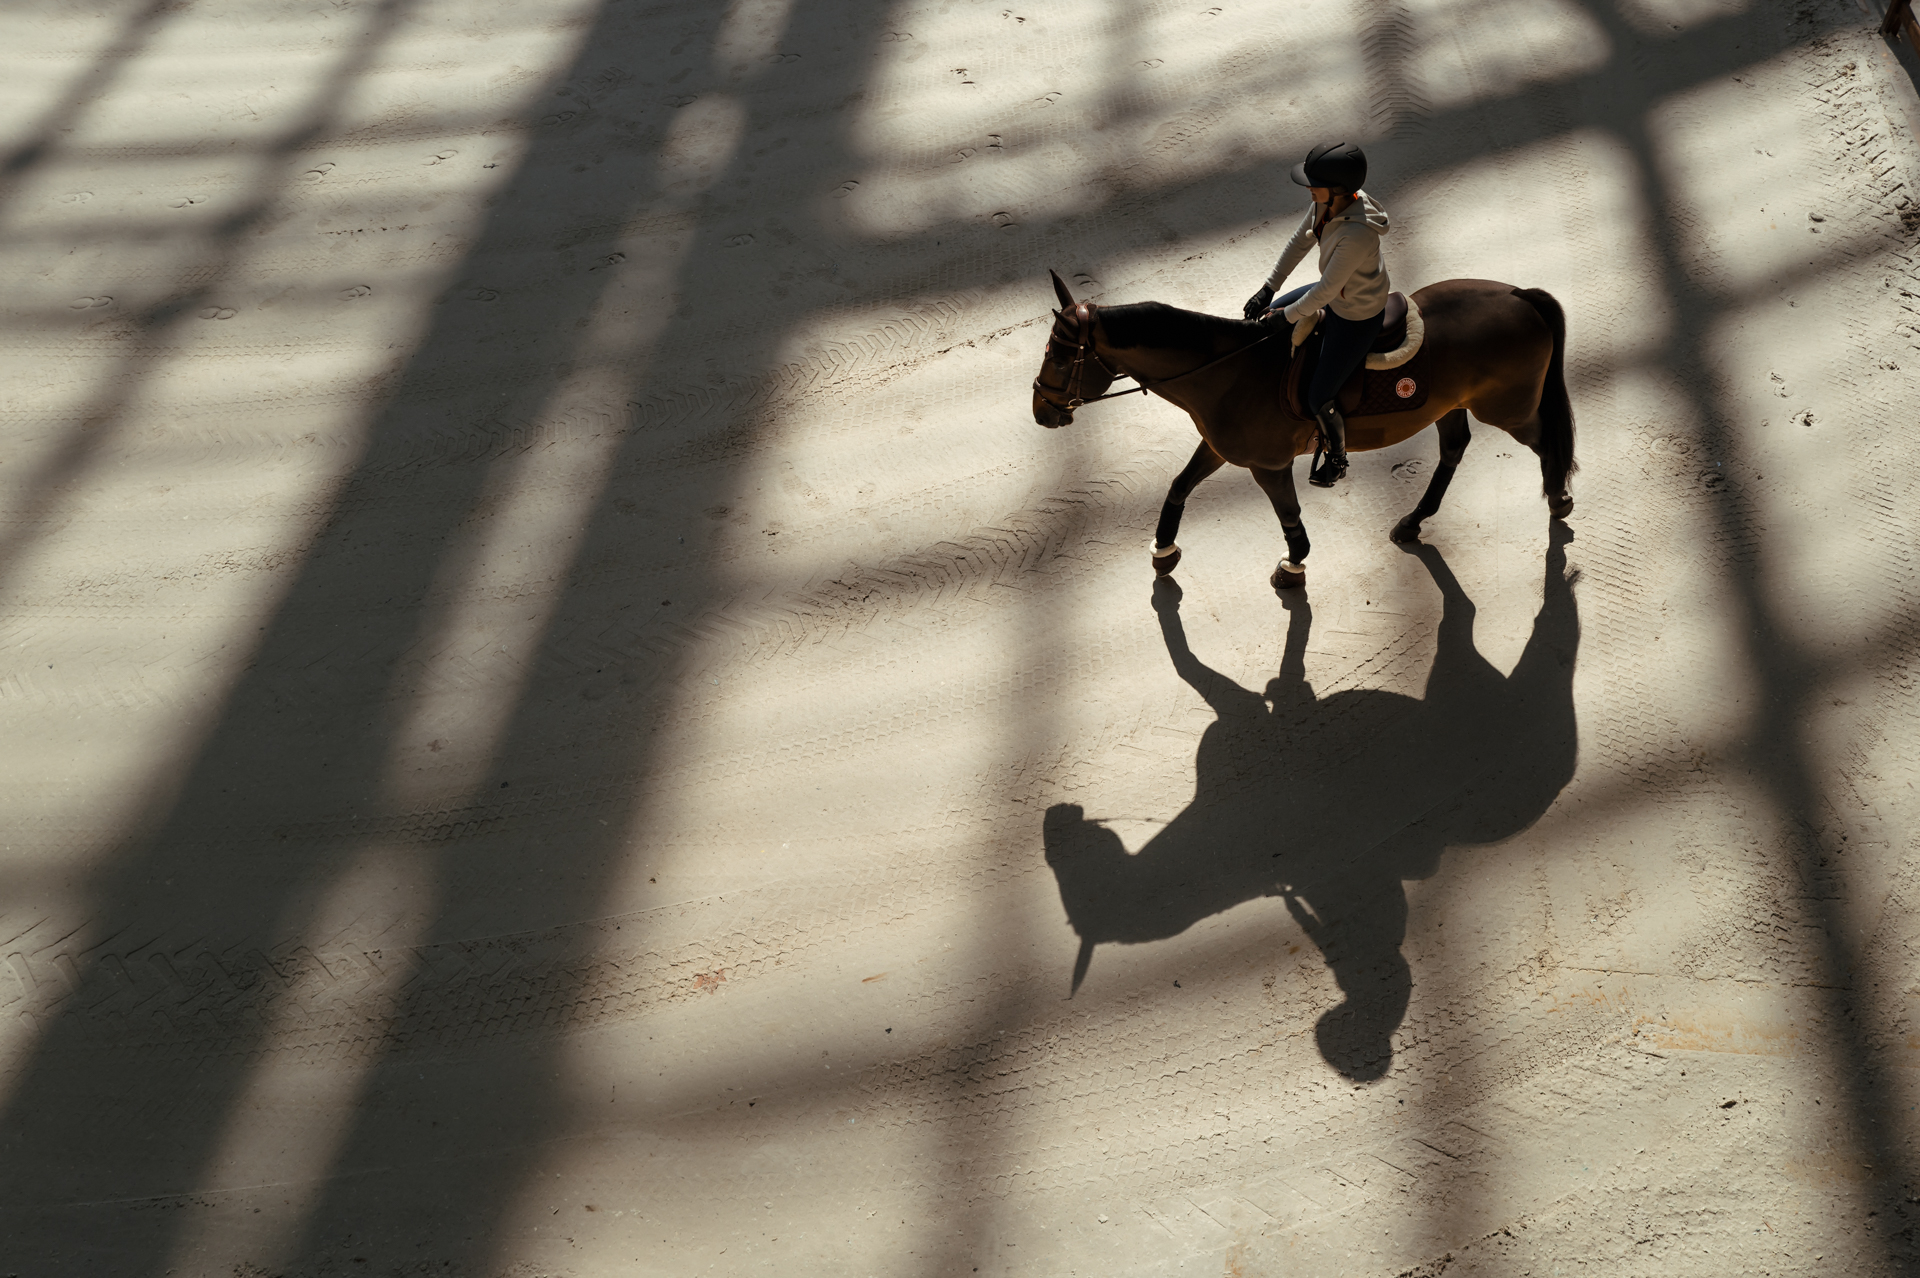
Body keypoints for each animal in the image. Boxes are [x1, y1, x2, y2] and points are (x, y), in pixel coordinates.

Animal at [1030, 270, 1575, 589]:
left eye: (1058, 354)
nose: (1040, 410)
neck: (1229, 369)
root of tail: (1517, 294)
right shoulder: (1219, 448)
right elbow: (1179, 487)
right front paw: (1163, 549)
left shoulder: (1267, 465)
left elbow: (1289, 516)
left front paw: (1294, 564)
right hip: (1451, 405)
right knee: (1455, 450)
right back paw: (1413, 521)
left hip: (1506, 409)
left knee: (1547, 442)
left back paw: (1558, 498)